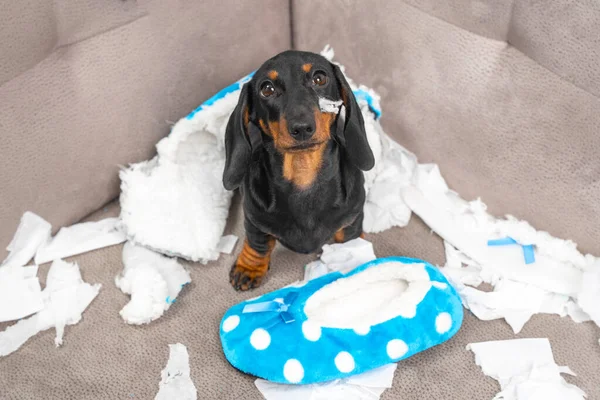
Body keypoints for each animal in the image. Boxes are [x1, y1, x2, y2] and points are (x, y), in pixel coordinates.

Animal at [223, 51, 372, 292]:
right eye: (267, 89)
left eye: (320, 78)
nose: (301, 128)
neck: (303, 173)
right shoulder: (254, 218)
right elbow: (258, 243)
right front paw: (249, 267)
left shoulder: (353, 216)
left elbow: (349, 239)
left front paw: (352, 257)